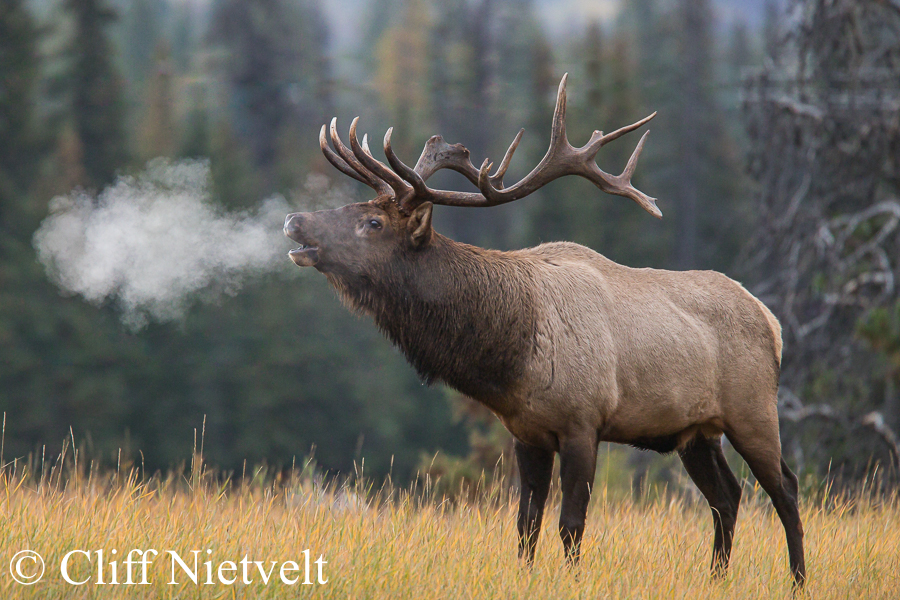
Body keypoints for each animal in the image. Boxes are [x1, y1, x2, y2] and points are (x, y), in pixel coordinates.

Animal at [284, 75, 804, 584]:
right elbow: (525, 523)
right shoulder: (526, 432)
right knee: (727, 496)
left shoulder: (583, 423)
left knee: (785, 488)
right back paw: (716, 577)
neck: (511, 356)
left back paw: (798, 578)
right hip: (695, 431)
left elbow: (571, 525)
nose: (294, 220)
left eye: (373, 222)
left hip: (752, 411)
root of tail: (773, 322)